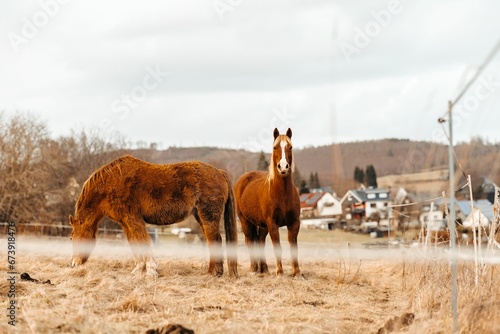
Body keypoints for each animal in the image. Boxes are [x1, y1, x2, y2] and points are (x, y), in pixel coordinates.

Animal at [70, 155, 238, 278]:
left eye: (72, 238)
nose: (73, 264)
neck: (111, 183)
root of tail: (220, 172)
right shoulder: (126, 222)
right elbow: (134, 243)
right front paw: (138, 270)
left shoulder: (134, 219)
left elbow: (143, 242)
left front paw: (151, 270)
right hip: (201, 217)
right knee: (212, 241)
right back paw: (211, 271)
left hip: (208, 216)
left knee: (215, 240)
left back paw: (215, 273)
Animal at [234, 128, 300, 276]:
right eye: (275, 147)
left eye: (290, 147)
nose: (283, 167)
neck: (283, 194)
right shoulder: (272, 224)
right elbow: (277, 246)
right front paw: (280, 272)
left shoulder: (294, 223)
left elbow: (293, 246)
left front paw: (297, 272)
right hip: (245, 221)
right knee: (249, 241)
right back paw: (254, 268)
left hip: (262, 225)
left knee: (260, 241)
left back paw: (263, 269)